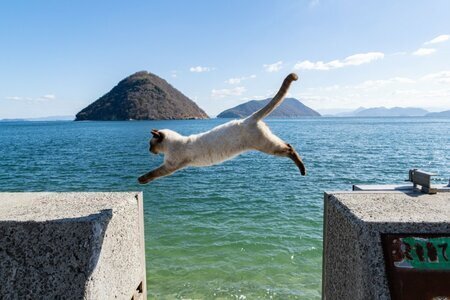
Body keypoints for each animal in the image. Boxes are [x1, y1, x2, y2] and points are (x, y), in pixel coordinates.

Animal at [137, 73, 306, 185]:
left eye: (150, 144)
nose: (149, 150)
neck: (172, 145)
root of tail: (248, 118)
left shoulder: (170, 166)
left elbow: (153, 173)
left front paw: (141, 179)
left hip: (267, 146)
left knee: (289, 149)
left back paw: (303, 170)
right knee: (289, 145)